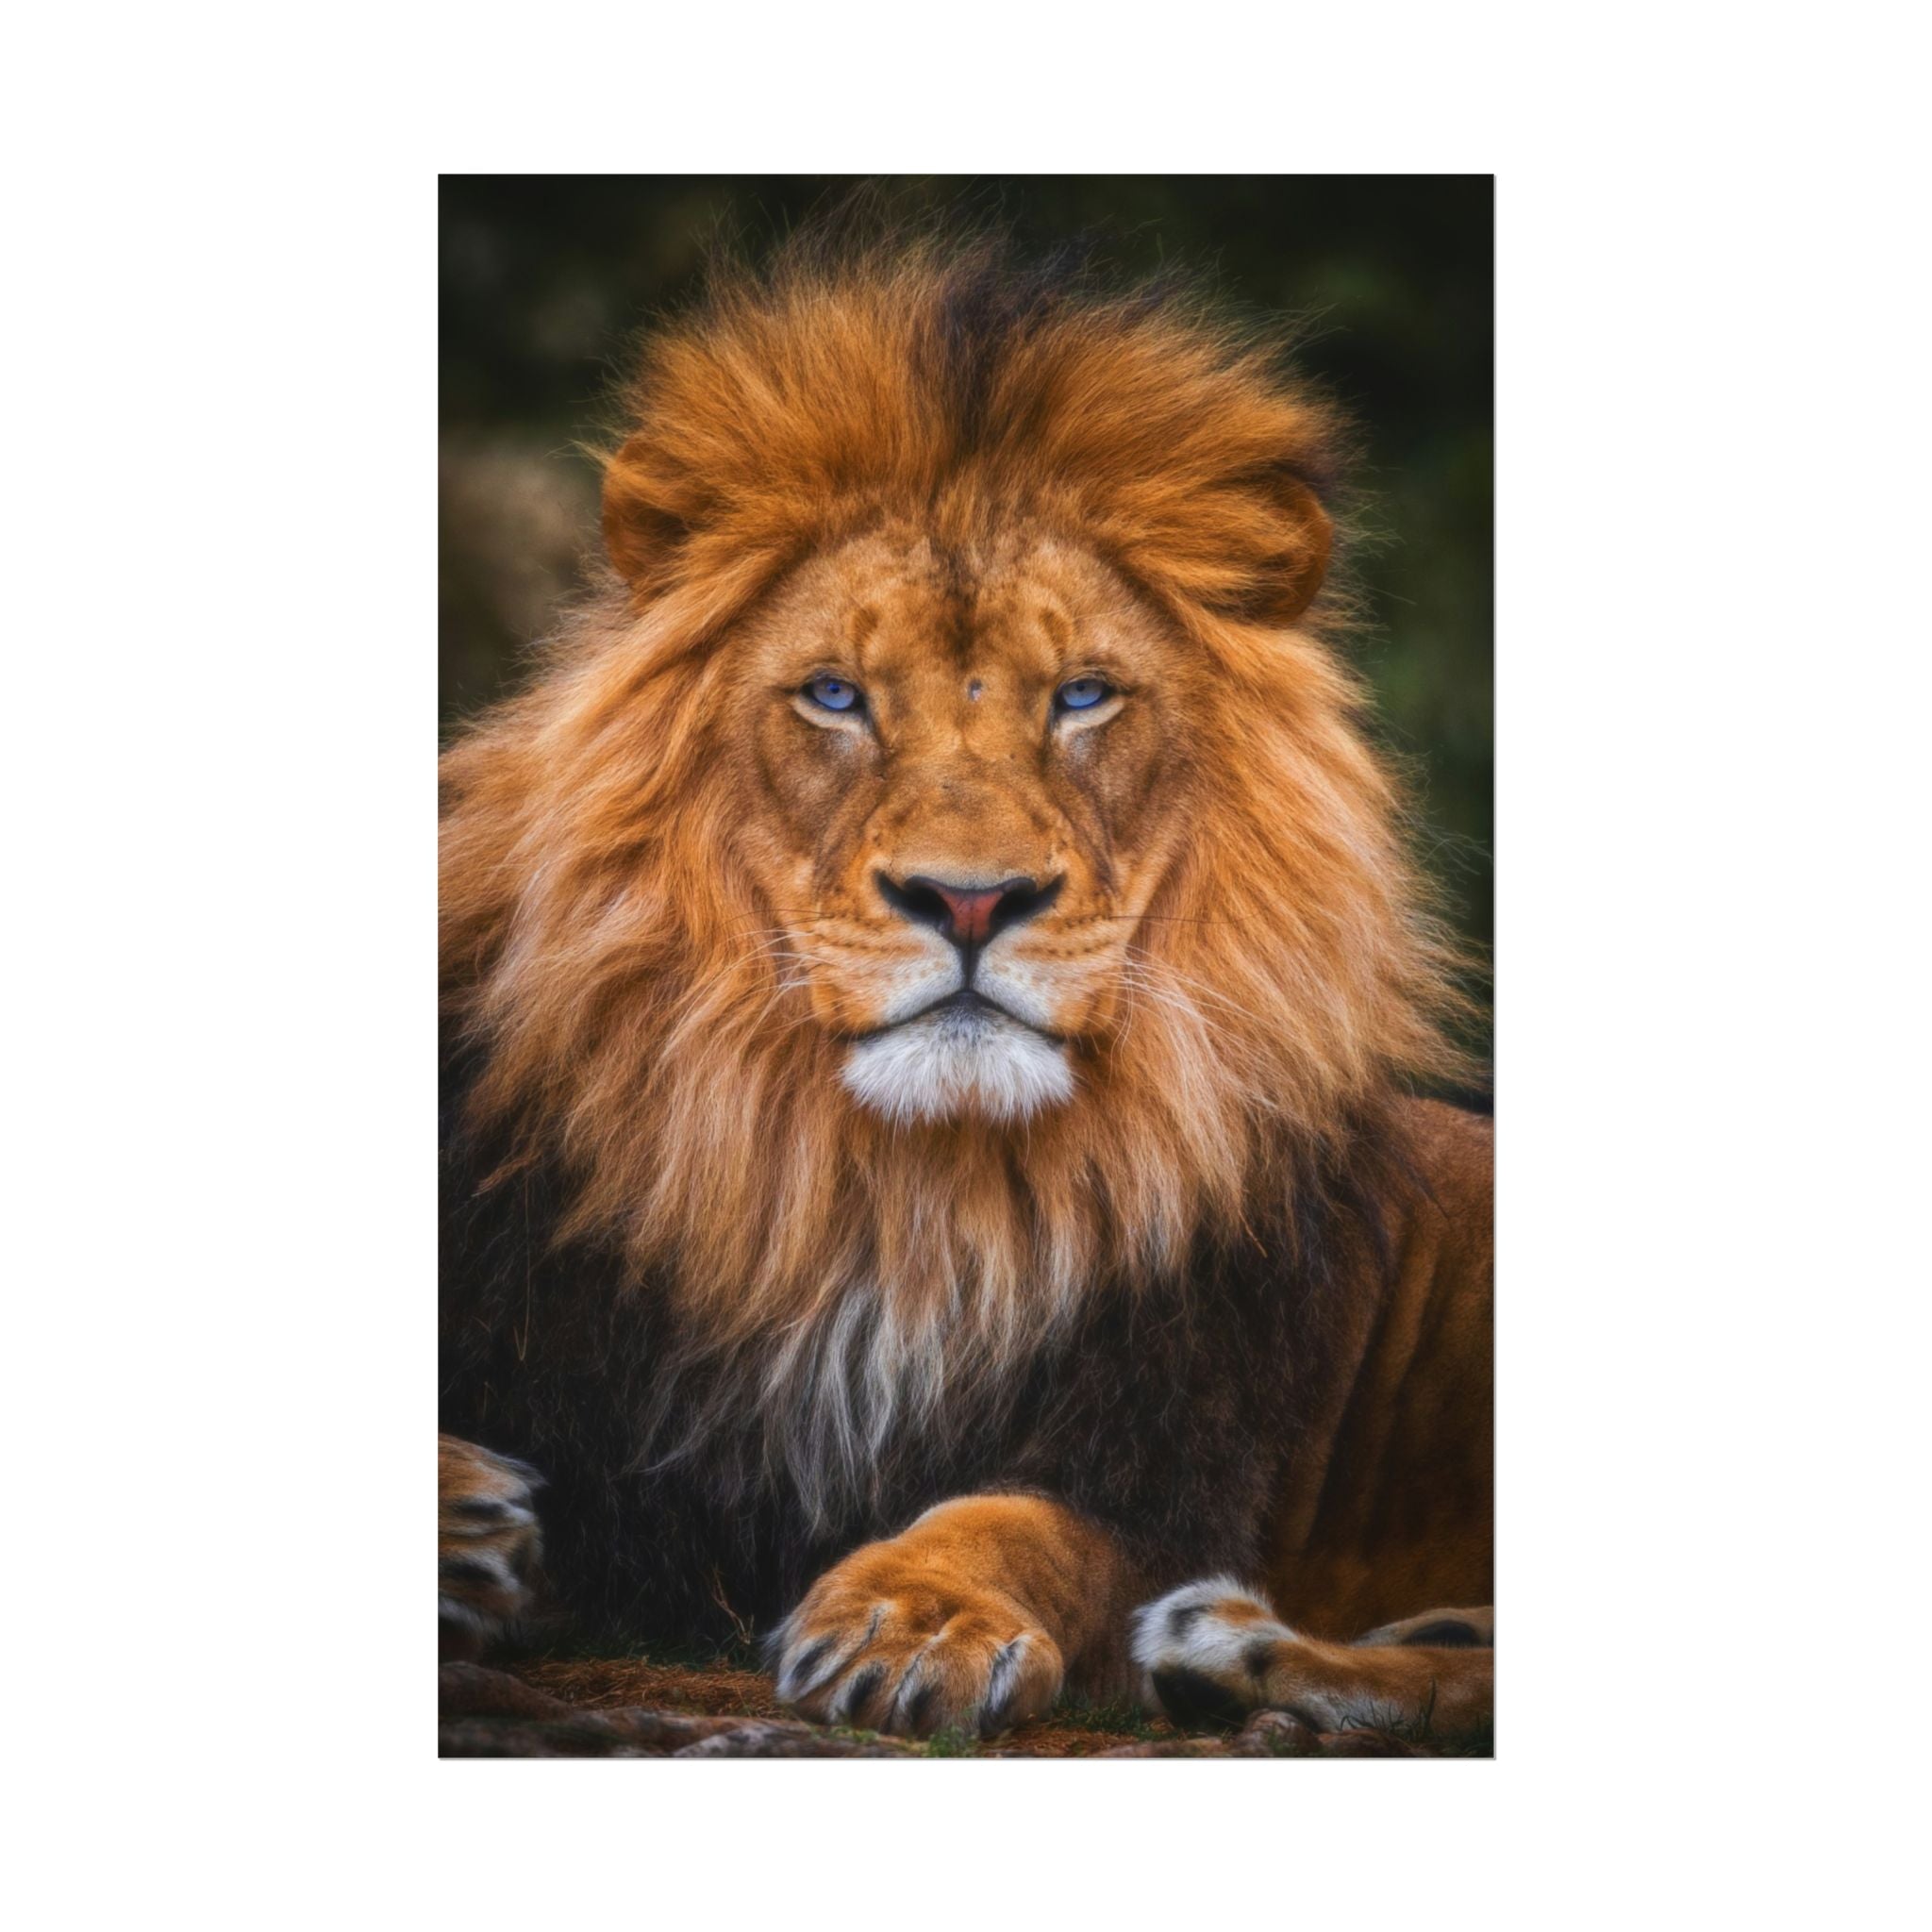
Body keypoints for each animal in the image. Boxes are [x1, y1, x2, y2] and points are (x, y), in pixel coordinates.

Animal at [438, 228, 1494, 1750]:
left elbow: (1019, 1523)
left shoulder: (1166, 1461)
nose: (972, 900)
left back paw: (1237, 1649)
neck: (894, 1196)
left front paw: (912, 1616)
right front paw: (464, 1519)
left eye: (1083, 696)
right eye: (833, 695)